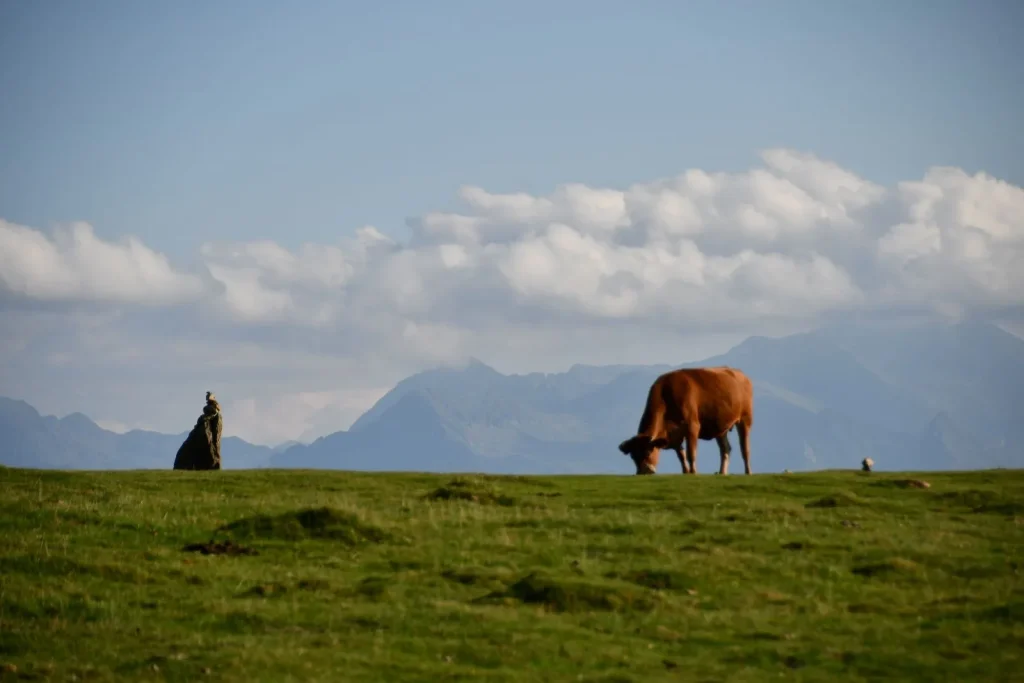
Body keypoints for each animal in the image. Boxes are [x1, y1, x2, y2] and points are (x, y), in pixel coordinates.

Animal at [614, 368, 753, 475]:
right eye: (633, 456)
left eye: (648, 452)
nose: (644, 472)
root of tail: (741, 374)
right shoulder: (675, 435)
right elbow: (681, 456)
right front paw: (686, 472)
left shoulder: (692, 427)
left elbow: (691, 453)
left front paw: (693, 473)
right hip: (720, 428)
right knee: (725, 449)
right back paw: (722, 473)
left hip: (745, 419)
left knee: (745, 449)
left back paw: (748, 472)